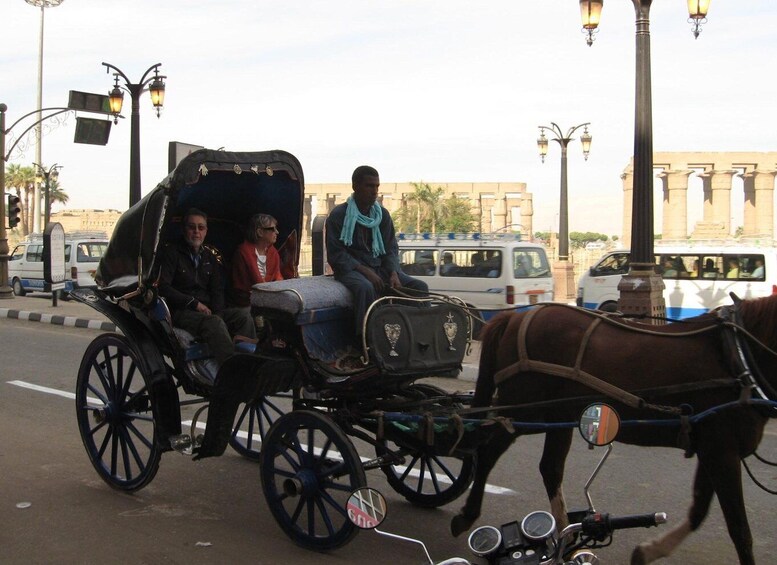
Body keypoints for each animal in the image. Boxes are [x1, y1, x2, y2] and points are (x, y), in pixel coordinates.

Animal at [448, 296, 776, 564]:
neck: (736, 354)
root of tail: (515, 317)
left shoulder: (714, 447)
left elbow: (699, 510)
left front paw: (648, 551)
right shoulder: (721, 450)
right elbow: (740, 530)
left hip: (559, 415)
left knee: (550, 468)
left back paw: (566, 536)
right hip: (524, 410)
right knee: (488, 451)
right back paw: (467, 516)